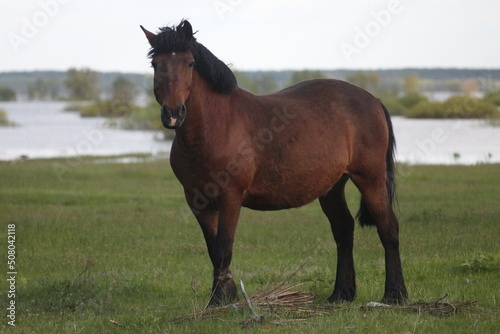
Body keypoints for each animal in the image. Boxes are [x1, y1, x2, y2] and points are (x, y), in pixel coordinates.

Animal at [140, 20, 406, 306]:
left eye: (189, 63)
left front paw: (223, 298)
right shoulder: (197, 200)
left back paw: (394, 294)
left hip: (371, 179)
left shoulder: (231, 197)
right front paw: (219, 298)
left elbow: (223, 248)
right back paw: (341, 293)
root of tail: (373, 100)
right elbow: (213, 249)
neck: (214, 126)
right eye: (156, 64)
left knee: (388, 228)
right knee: (343, 230)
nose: (173, 113)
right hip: (332, 187)